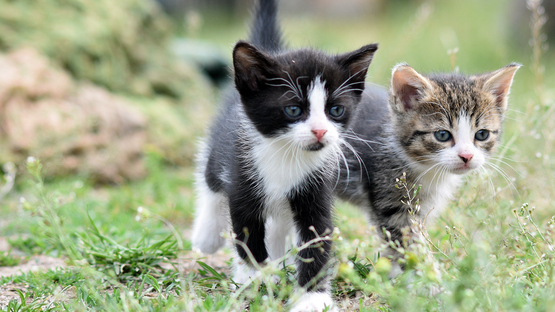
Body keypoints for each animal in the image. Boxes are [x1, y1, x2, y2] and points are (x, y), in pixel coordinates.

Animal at [191, 0, 378, 310]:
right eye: (293, 109)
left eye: (335, 110)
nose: (319, 131)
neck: (286, 156)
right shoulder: (242, 181)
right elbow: (248, 237)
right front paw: (254, 279)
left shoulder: (315, 189)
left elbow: (316, 238)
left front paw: (312, 297)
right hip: (221, 150)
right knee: (210, 181)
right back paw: (206, 235)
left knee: (278, 223)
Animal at [338, 64, 520, 274]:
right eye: (442, 135)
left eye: (482, 134)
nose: (466, 156)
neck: (426, 168)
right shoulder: (391, 200)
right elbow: (410, 244)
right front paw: (432, 277)